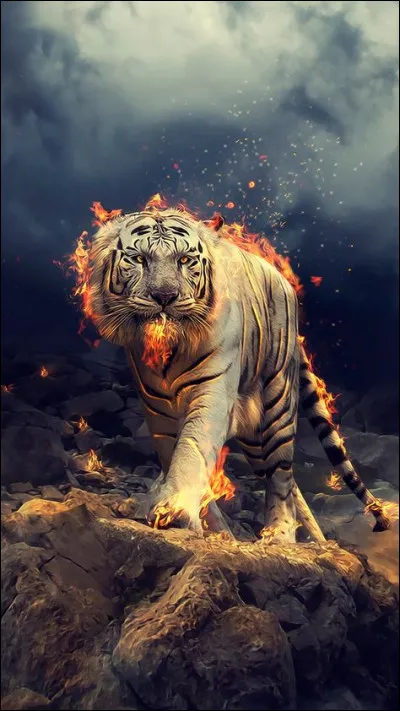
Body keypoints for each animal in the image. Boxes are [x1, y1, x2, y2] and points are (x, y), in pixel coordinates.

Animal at [87, 206, 390, 542]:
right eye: (139, 259)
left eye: (184, 260)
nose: (165, 296)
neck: (168, 350)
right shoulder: (157, 410)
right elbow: (175, 455)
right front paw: (207, 525)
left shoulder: (212, 393)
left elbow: (192, 450)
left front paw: (175, 510)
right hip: (256, 441)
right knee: (285, 480)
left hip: (275, 411)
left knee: (281, 476)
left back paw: (280, 535)